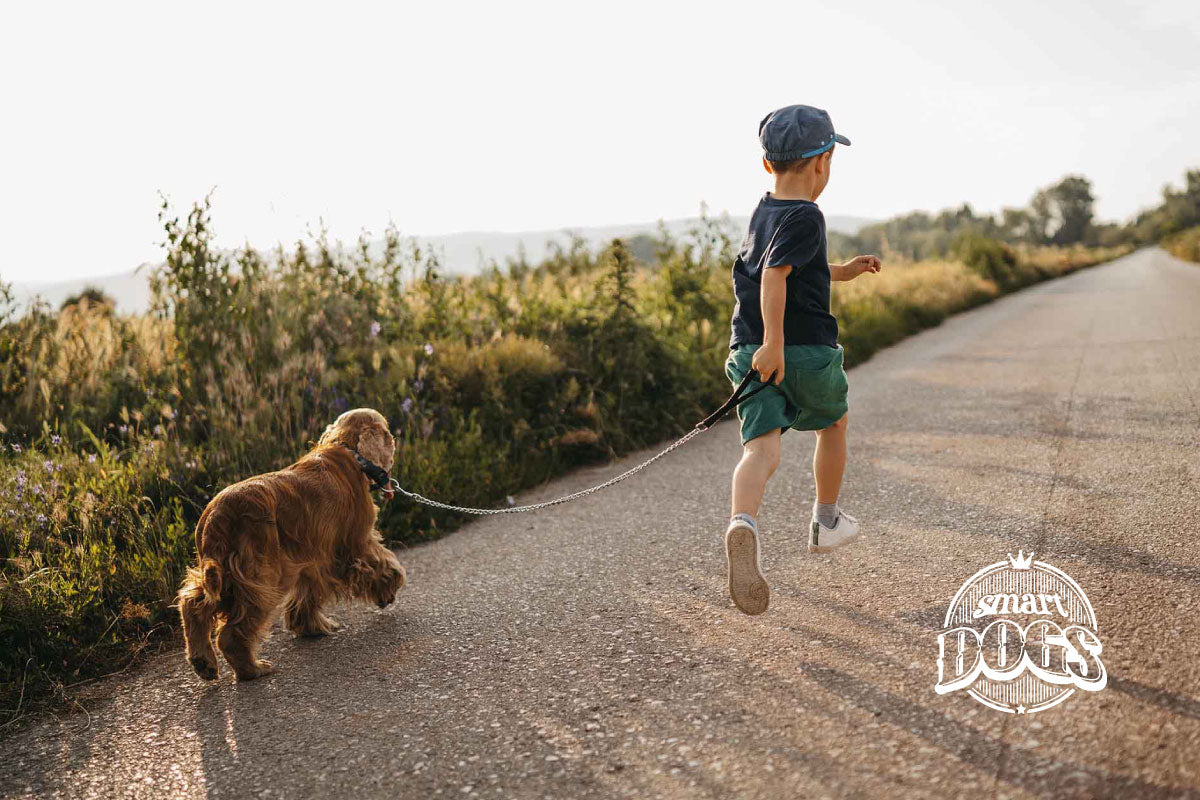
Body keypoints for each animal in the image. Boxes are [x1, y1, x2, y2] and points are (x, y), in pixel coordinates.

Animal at [175, 410, 405, 681]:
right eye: (388, 432)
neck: (346, 450)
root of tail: (216, 518)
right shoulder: (356, 541)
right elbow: (382, 563)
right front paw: (390, 587)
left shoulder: (311, 559)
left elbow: (308, 593)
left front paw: (311, 626)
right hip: (262, 577)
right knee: (231, 635)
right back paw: (253, 669)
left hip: (223, 576)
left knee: (193, 604)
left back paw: (203, 662)